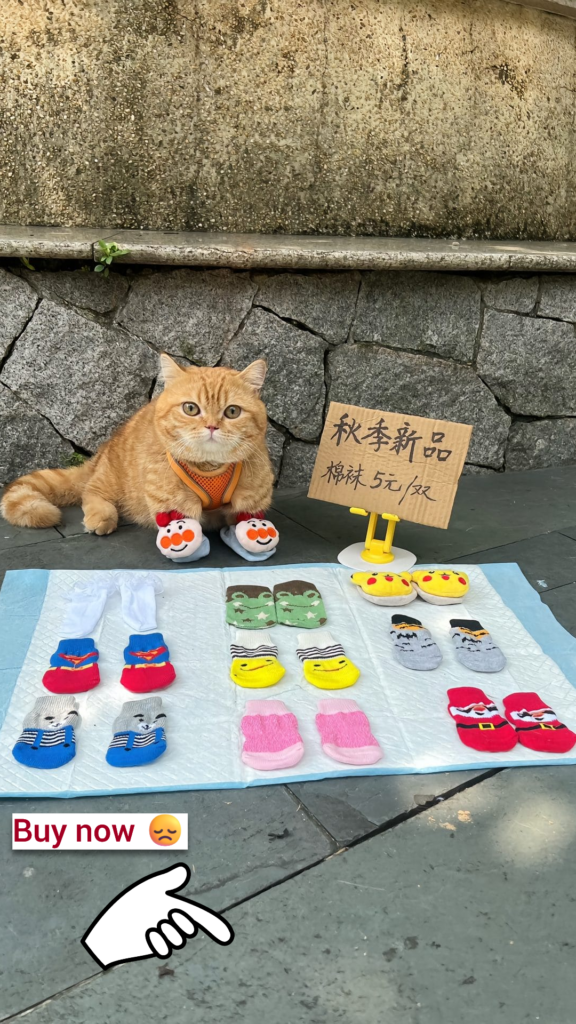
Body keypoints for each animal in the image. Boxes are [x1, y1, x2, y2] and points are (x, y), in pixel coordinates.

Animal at [0, 356, 272, 536]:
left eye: (232, 412)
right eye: (191, 408)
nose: (212, 426)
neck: (210, 468)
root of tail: (102, 451)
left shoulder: (252, 501)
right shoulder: (170, 503)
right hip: (110, 480)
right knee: (90, 492)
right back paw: (101, 516)